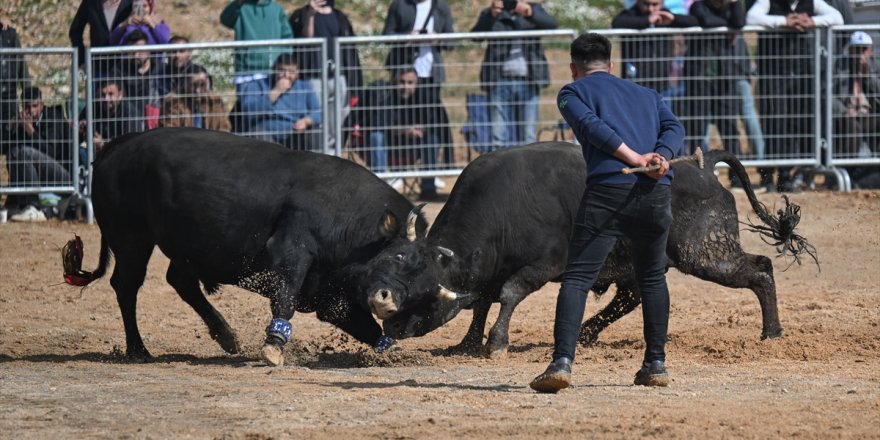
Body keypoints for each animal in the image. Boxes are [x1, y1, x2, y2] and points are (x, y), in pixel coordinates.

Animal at [64, 127, 426, 364]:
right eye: (398, 256)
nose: (391, 302)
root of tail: (120, 145)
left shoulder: (331, 294)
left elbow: (362, 323)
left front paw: (388, 351)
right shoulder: (291, 250)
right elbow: (286, 296)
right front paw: (274, 346)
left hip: (181, 245)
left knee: (180, 282)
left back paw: (226, 336)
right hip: (132, 241)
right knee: (127, 287)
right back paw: (138, 350)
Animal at [360, 143, 800, 356]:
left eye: (421, 288)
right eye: (390, 261)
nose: (380, 300)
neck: (503, 205)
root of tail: (703, 167)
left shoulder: (544, 265)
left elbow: (508, 294)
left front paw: (496, 343)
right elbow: (482, 301)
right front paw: (468, 342)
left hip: (707, 254)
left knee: (761, 269)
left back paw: (772, 332)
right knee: (630, 298)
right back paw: (587, 332)